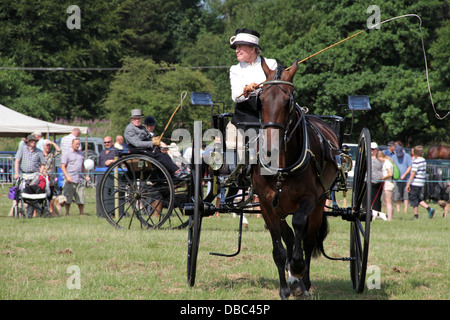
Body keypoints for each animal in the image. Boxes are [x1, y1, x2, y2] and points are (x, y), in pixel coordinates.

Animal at [251, 58, 340, 300]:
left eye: (288, 101)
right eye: (260, 100)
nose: (270, 148)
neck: (281, 167)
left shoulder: (309, 199)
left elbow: (300, 226)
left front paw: (298, 267)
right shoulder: (267, 205)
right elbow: (279, 249)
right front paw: (284, 288)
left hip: (319, 204)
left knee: (307, 239)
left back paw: (303, 281)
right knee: (289, 237)